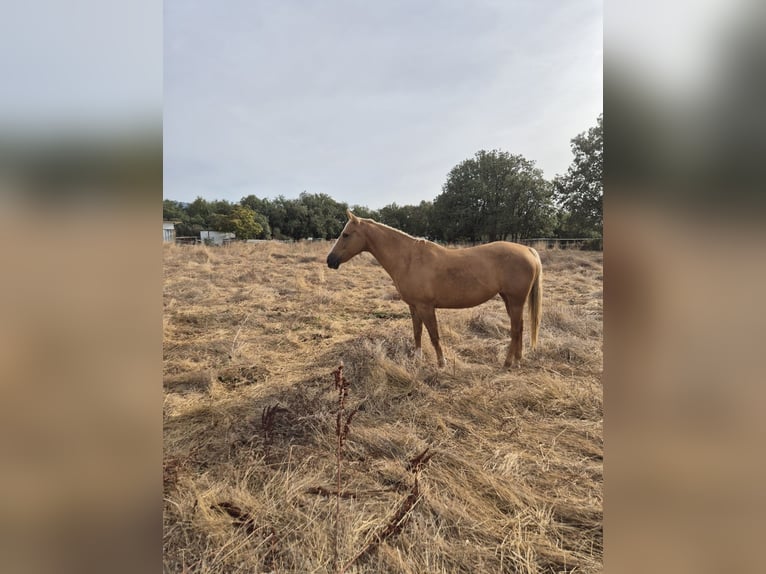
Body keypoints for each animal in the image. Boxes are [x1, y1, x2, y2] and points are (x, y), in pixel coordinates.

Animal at [326, 210, 542, 368]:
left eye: (345, 234)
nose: (330, 260)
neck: (409, 259)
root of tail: (527, 250)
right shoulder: (414, 307)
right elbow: (417, 333)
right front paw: (417, 360)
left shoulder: (426, 307)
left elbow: (434, 335)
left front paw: (441, 363)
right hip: (509, 299)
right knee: (520, 327)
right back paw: (517, 361)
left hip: (515, 300)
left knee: (515, 329)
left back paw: (508, 363)